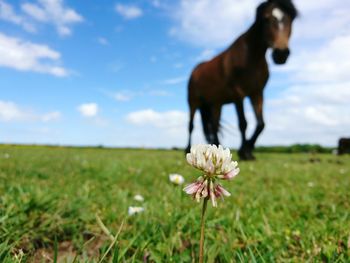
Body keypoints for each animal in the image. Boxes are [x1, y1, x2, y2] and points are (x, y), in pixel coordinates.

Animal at [186, 0, 298, 161]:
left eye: (290, 19)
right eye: (266, 19)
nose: (281, 54)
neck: (252, 57)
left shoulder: (257, 93)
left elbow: (261, 124)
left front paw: (248, 150)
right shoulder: (237, 93)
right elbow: (243, 123)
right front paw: (244, 151)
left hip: (215, 103)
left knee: (214, 125)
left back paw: (215, 146)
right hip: (193, 102)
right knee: (191, 126)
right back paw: (187, 148)